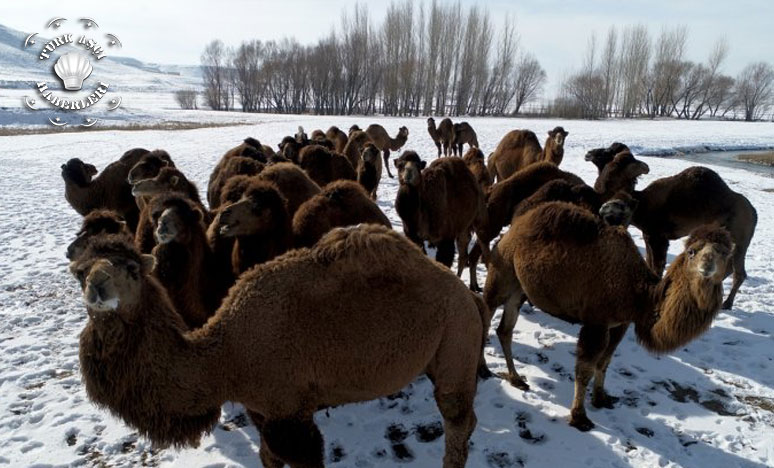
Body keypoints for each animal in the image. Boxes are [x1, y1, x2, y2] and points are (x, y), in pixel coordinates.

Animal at [73, 225, 484, 466]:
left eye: (132, 270)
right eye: (79, 272)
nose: (97, 285)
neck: (224, 359)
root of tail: (467, 294)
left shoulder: (290, 411)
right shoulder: (262, 410)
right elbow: (268, 457)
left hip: (456, 338)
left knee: (455, 420)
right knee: (467, 419)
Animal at [398, 152, 488, 290]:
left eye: (418, 165)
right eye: (400, 165)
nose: (408, 173)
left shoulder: (446, 238)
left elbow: (444, 262)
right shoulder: (414, 237)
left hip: (479, 218)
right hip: (463, 228)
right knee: (464, 255)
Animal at [488, 199, 736, 430]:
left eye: (724, 253)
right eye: (692, 252)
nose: (707, 266)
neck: (639, 292)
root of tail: (515, 226)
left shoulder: (620, 324)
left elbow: (605, 362)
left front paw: (601, 399)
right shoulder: (596, 322)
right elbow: (584, 370)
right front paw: (579, 417)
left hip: (519, 288)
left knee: (505, 329)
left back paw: (516, 379)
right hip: (503, 270)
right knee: (487, 309)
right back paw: (484, 370)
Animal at [608, 165, 756, 310]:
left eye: (620, 210)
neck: (644, 205)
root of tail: (754, 213)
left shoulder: (658, 236)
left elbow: (657, 266)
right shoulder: (648, 234)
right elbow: (649, 262)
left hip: (739, 239)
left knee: (739, 272)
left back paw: (726, 303)